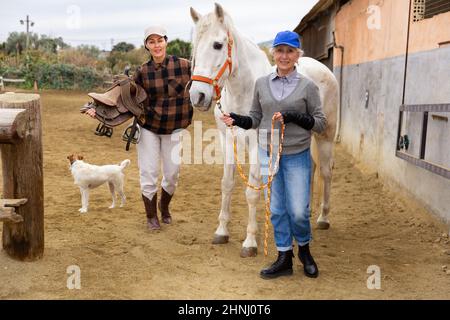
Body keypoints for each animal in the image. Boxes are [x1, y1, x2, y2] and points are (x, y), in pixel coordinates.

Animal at [188, 3, 340, 258]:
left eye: (217, 45)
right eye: (194, 47)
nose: (197, 96)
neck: (244, 91)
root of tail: (324, 70)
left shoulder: (256, 144)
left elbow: (252, 192)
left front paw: (250, 242)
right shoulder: (227, 140)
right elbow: (227, 185)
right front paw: (221, 231)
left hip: (325, 136)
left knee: (326, 172)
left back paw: (323, 218)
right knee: (308, 171)